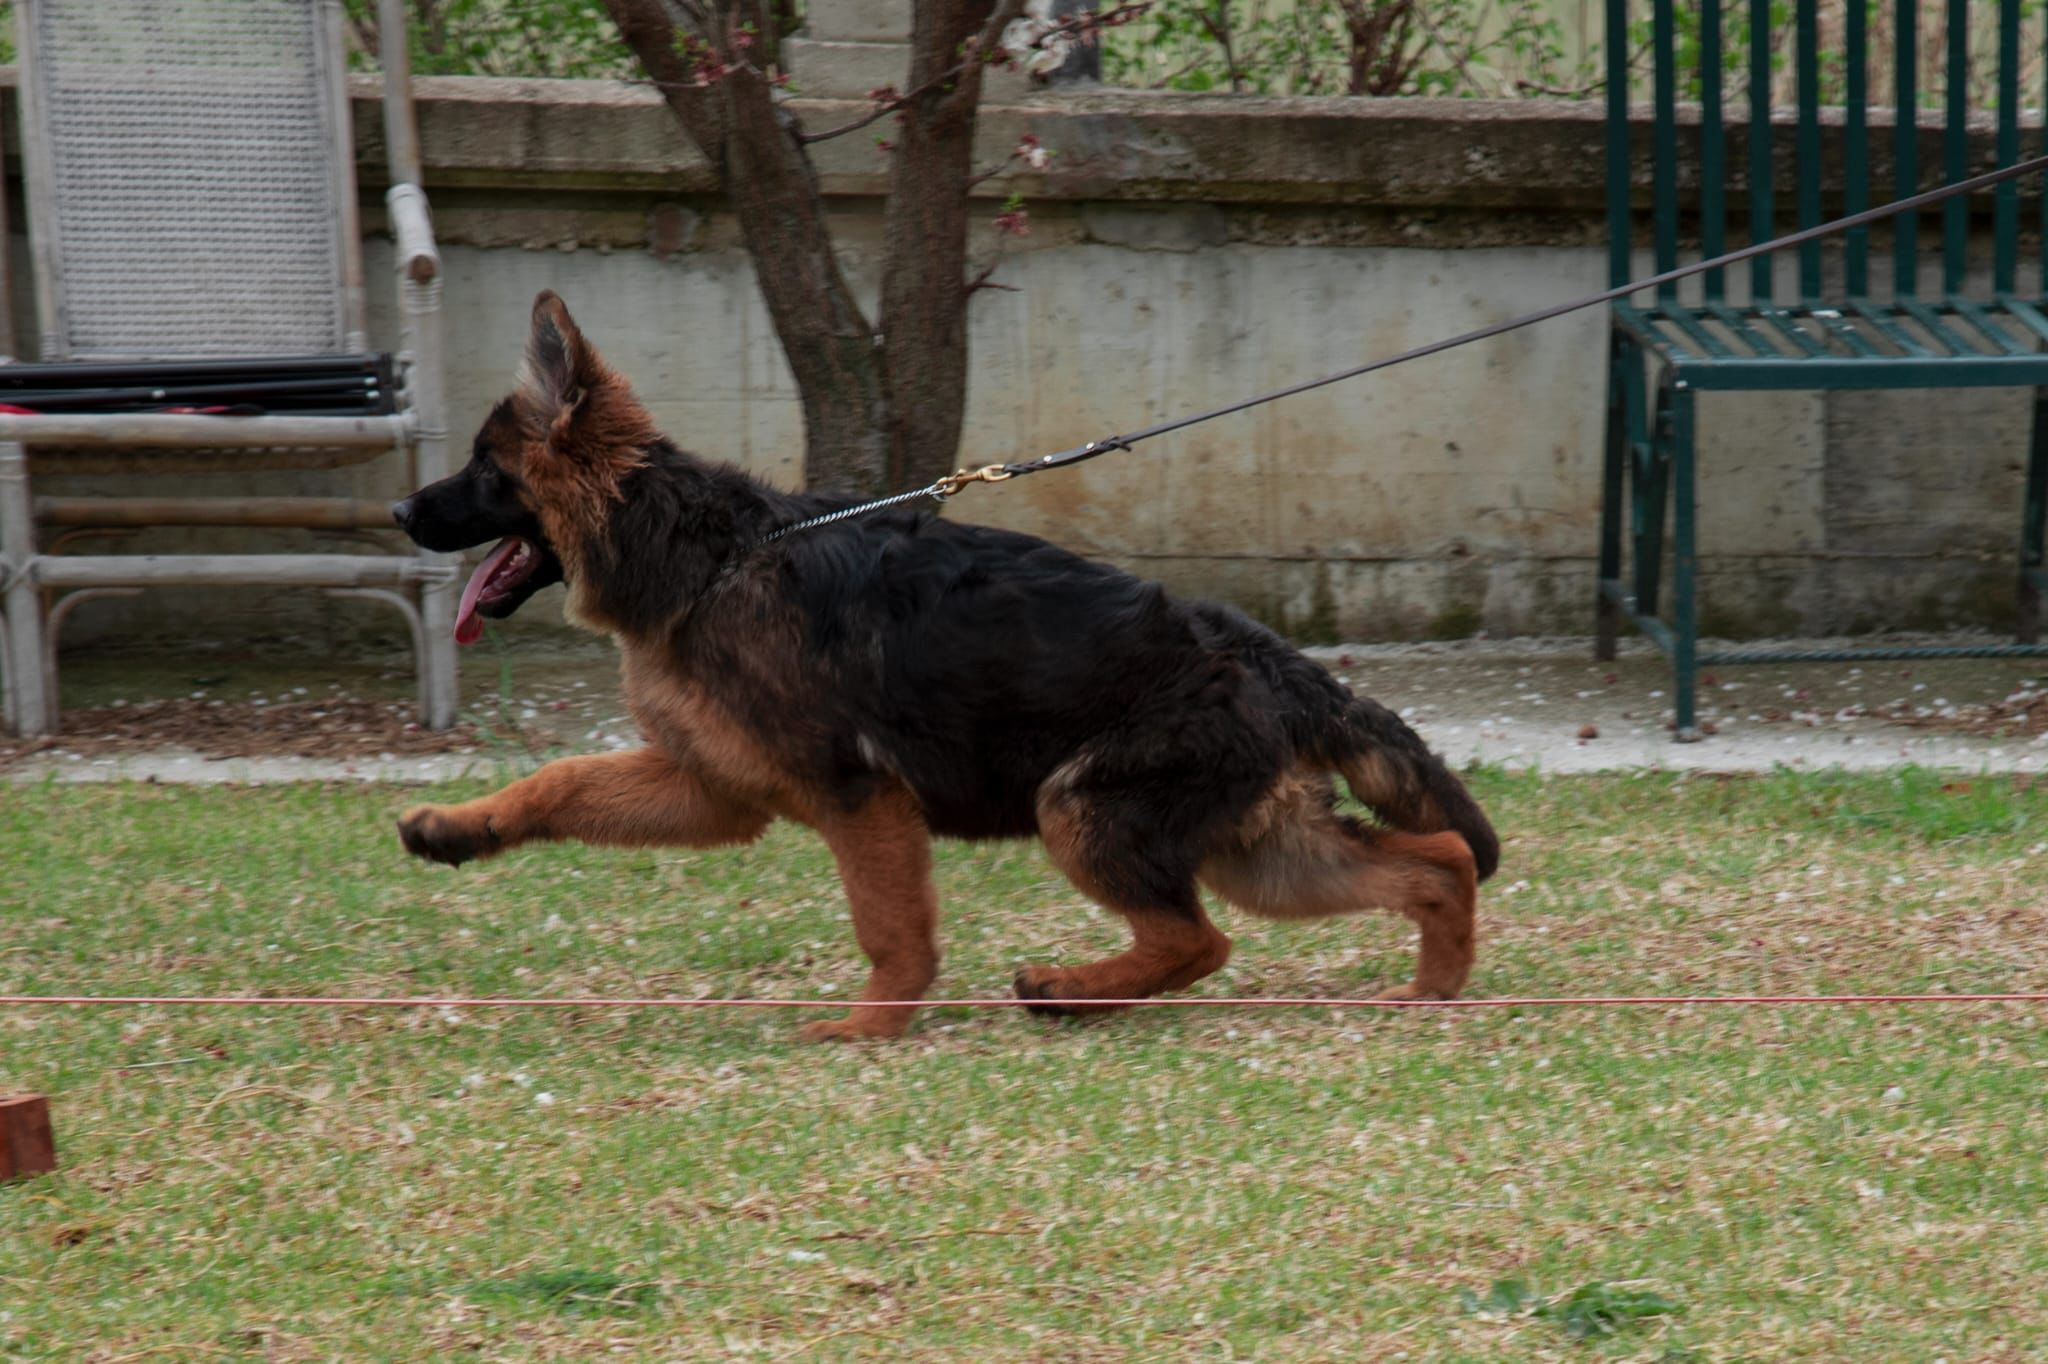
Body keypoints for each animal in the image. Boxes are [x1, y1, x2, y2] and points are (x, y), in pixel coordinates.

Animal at [391, 296, 1499, 1036]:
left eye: (484, 471)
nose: (397, 510)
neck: (707, 558)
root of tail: (1255, 650)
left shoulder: (859, 798)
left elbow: (892, 930)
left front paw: (871, 1024)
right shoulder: (712, 788)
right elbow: (560, 781)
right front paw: (459, 827)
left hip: (1082, 807)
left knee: (1202, 940)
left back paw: (1068, 990)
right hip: (1257, 847)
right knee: (1434, 861)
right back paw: (1430, 988)